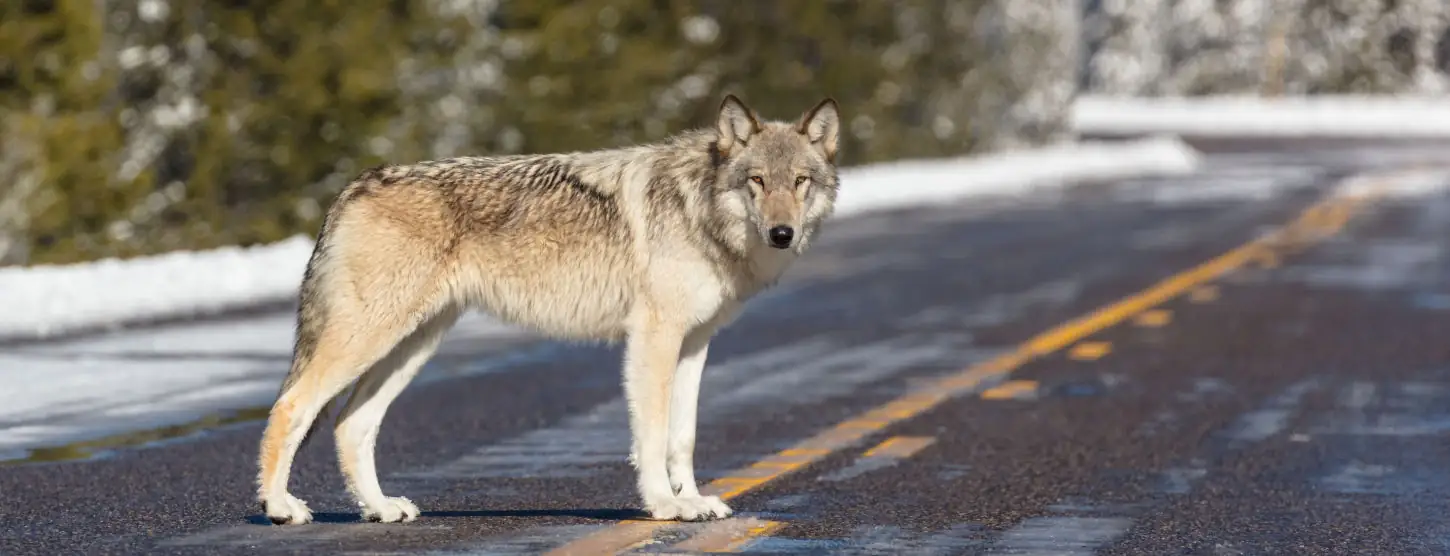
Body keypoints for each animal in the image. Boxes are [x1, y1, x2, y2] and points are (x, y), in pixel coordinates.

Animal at [255, 94, 842, 525]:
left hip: (412, 347)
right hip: (370, 339)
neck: (699, 210)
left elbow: (684, 436)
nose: (782, 233)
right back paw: (280, 508)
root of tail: (354, 185)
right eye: (757, 181)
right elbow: (652, 436)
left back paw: (380, 509)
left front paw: (692, 500)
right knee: (291, 406)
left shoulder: (695, 343)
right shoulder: (653, 339)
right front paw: (664, 506)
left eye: (800, 182)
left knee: (351, 424)